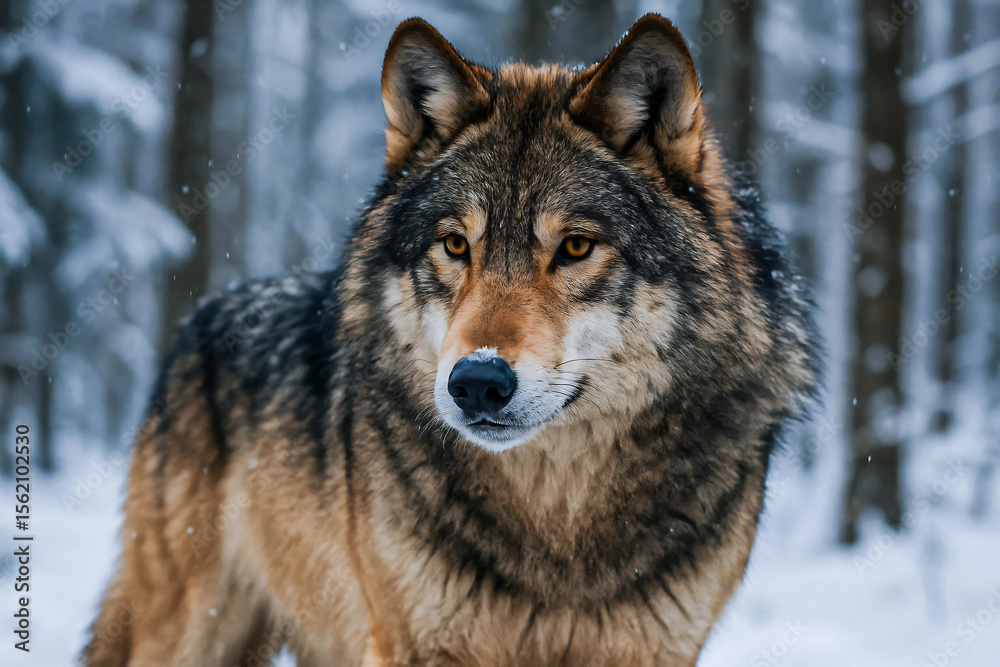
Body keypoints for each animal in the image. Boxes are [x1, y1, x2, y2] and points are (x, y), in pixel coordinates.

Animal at [85, 14, 819, 666]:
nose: (478, 382)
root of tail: (202, 314)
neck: (557, 527)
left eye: (577, 247)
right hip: (188, 630)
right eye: (456, 245)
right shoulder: (412, 644)